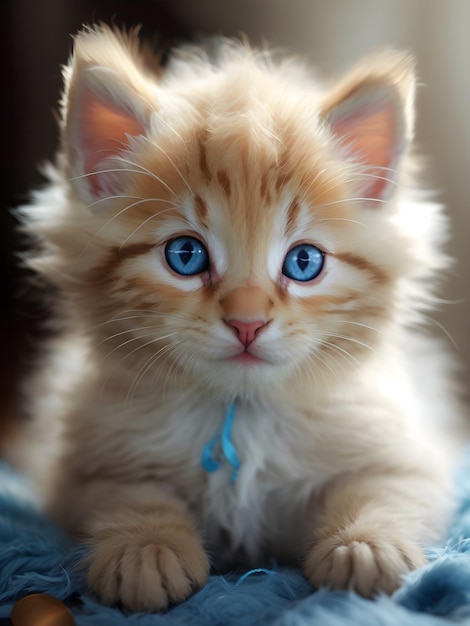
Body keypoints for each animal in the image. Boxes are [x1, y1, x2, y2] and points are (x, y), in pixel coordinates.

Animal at [10, 24, 462, 608]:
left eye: (304, 262)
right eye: (185, 255)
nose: (248, 323)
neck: (240, 414)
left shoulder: (408, 453)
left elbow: (381, 490)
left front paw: (365, 543)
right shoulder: (84, 468)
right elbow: (133, 496)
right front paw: (146, 549)